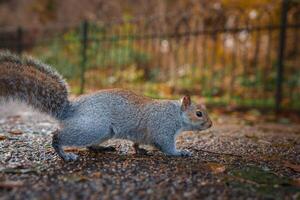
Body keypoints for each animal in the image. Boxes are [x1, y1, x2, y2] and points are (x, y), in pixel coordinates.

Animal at [0, 50, 212, 162]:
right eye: (199, 113)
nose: (211, 125)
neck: (176, 114)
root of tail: (71, 109)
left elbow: (138, 142)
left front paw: (139, 149)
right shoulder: (163, 128)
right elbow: (167, 146)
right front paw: (181, 152)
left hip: (103, 131)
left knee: (89, 145)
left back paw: (102, 148)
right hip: (93, 127)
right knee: (58, 136)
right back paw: (65, 154)